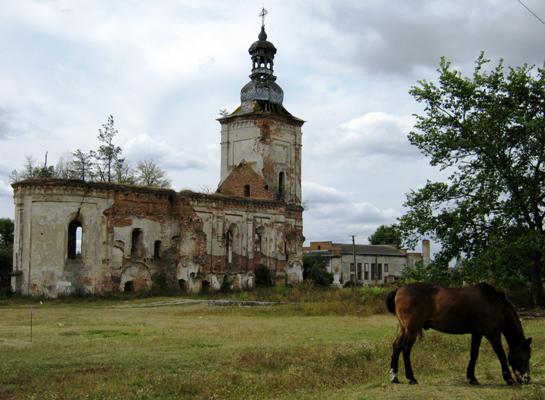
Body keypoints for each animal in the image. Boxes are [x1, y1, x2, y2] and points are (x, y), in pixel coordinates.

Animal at [386, 282, 532, 384]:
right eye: (526, 357)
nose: (526, 379)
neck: (494, 303)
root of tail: (399, 290)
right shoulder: (493, 334)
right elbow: (501, 355)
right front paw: (509, 379)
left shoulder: (477, 333)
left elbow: (474, 354)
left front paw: (472, 378)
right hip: (412, 329)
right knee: (405, 349)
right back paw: (411, 378)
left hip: (404, 329)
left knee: (396, 346)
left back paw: (394, 377)